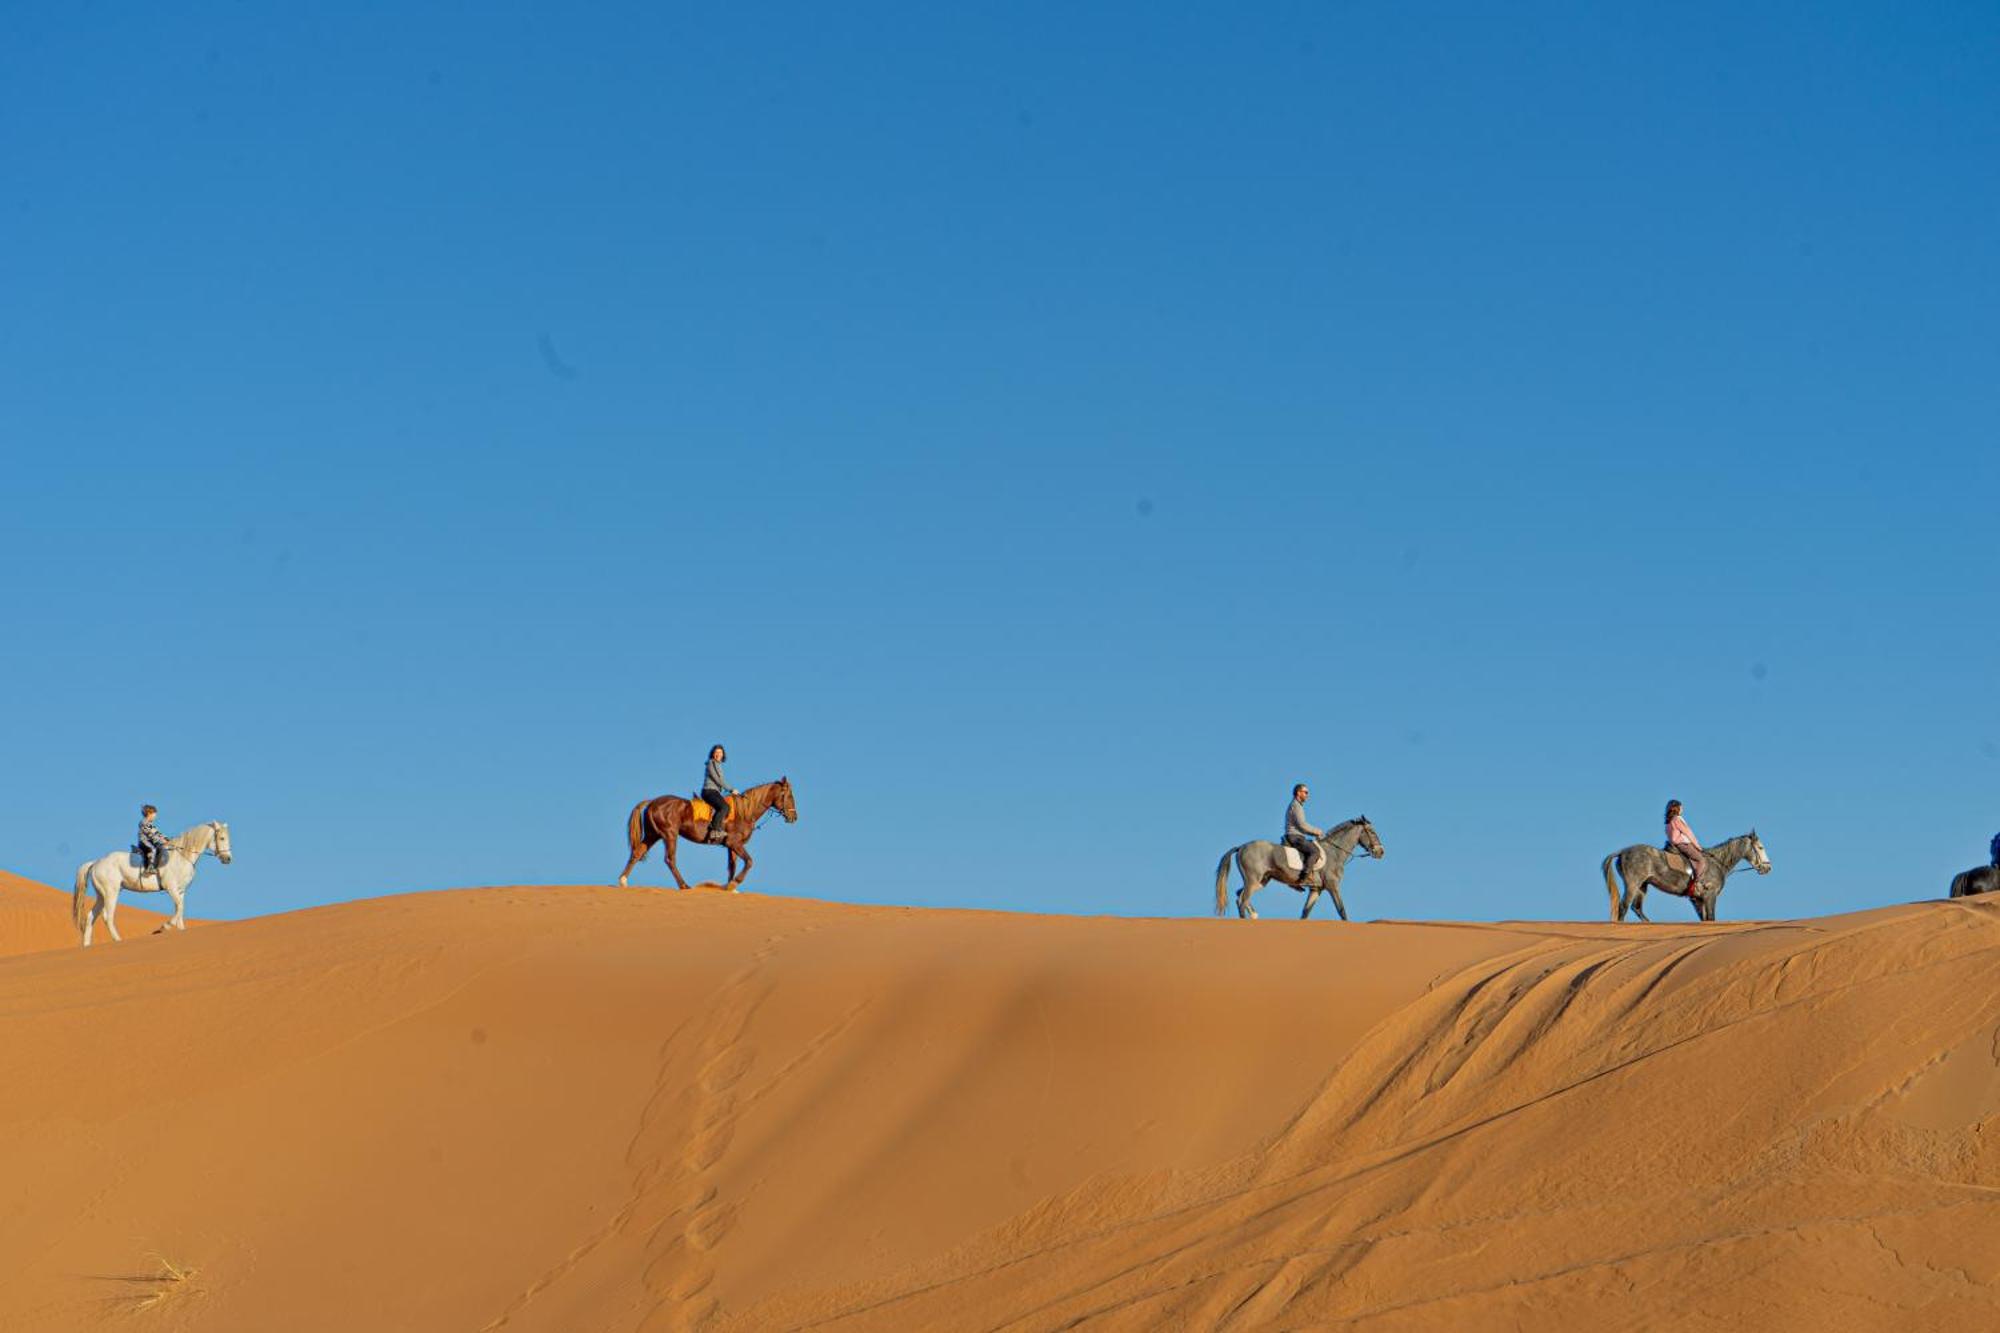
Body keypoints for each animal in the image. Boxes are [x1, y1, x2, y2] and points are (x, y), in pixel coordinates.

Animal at [71, 816, 232, 940]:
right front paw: (163, 927)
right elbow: (179, 909)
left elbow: (180, 910)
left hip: (101, 895)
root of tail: (96, 862)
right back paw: (118, 940)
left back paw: (86, 946)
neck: (181, 856)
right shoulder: (171, 888)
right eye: (222, 838)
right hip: (111, 892)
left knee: (91, 917)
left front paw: (180, 930)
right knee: (107, 916)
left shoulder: (181, 891)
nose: (228, 859)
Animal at [616, 772, 796, 888]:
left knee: (637, 852)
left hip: (653, 835)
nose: (794, 817)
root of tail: (652, 802)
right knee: (670, 859)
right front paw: (734, 884)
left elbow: (732, 866)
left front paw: (729, 887)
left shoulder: (731, 846)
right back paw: (684, 885)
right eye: (789, 796)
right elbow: (749, 862)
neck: (744, 812)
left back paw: (623, 881)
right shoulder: (734, 843)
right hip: (669, 835)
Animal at [1208, 816, 1384, 920]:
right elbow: (1342, 911)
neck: (1334, 852)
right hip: (1253, 880)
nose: (1381, 851)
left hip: (1261, 881)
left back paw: (1254, 914)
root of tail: (1242, 847)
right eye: (1372, 832)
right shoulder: (1333, 886)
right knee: (1242, 901)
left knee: (1240, 895)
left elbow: (1305, 913)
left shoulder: (1316, 889)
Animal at [1600, 824, 1776, 920]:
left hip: (1642, 886)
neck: (1717, 862)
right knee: (1623, 907)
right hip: (1633, 884)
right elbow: (1711, 918)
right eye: (1761, 848)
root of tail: (1622, 852)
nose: (1768, 868)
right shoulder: (1709, 896)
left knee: (1636, 908)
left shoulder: (1698, 900)